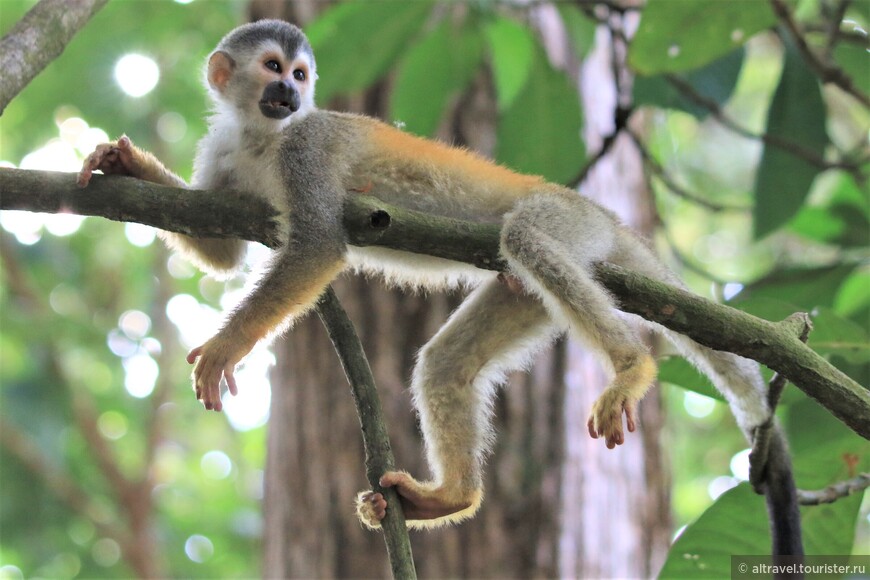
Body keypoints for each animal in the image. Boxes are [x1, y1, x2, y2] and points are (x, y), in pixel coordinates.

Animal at [76, 19, 804, 552]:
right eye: (274, 69)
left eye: (301, 75)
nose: (292, 95)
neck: (262, 135)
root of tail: (611, 220)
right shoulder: (224, 153)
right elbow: (222, 252)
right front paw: (126, 163)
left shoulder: (306, 148)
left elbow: (318, 246)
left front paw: (229, 346)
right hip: (525, 296)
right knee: (451, 359)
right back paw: (451, 497)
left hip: (570, 225)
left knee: (529, 239)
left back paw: (630, 363)